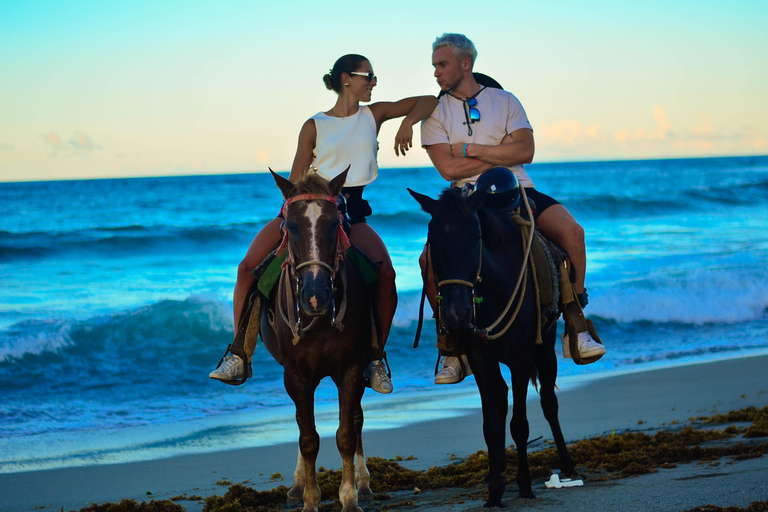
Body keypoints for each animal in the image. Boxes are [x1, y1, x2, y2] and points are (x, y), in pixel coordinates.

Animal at [408, 186, 576, 506]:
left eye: (475, 237)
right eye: (433, 241)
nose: (456, 315)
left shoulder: (521, 358)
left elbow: (519, 424)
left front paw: (524, 484)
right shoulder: (480, 357)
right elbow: (492, 425)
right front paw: (495, 489)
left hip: (545, 348)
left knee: (549, 402)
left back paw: (567, 464)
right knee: (500, 398)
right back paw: (496, 468)